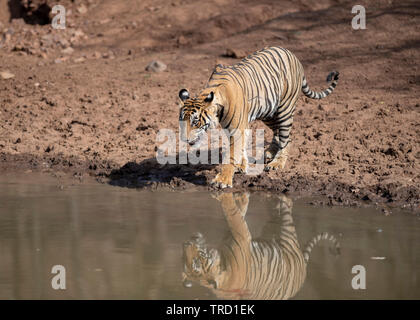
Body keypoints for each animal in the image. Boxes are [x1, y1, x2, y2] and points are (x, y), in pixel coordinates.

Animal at [179, 46, 340, 189]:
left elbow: (232, 154)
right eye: (182, 121)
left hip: (285, 109)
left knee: (286, 138)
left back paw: (276, 163)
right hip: (269, 113)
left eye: (195, 122)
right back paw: (270, 152)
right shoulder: (239, 126)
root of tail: (293, 55)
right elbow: (241, 147)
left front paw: (222, 180)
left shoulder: (237, 128)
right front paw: (241, 165)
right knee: (278, 133)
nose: (184, 139)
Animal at [182, 192, 340, 300]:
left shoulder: (235, 237)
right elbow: (234, 215)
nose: (186, 243)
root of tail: (304, 270)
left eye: (196, 261)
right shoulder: (239, 237)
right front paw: (233, 197)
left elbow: (234, 215)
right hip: (281, 231)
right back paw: (282, 200)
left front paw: (237, 198)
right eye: (187, 260)